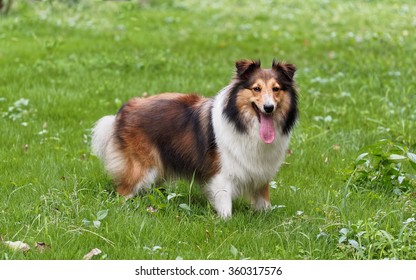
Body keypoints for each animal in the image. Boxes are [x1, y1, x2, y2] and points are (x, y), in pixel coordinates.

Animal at [92, 59, 298, 219]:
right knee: (122, 192)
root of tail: (126, 108)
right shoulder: (222, 174)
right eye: (256, 88)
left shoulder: (260, 173)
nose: (269, 108)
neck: (242, 122)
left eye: (276, 89)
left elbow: (264, 202)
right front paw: (226, 222)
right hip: (141, 168)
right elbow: (225, 205)